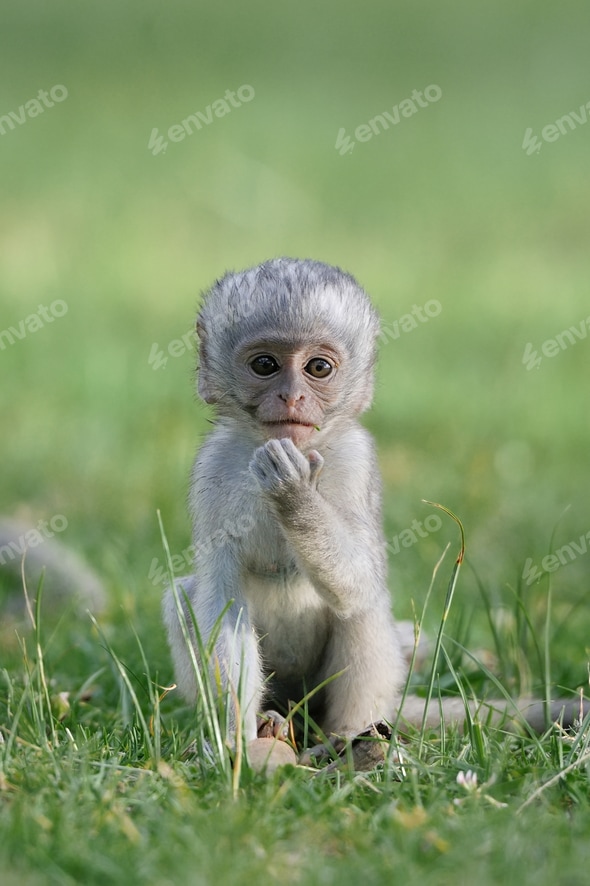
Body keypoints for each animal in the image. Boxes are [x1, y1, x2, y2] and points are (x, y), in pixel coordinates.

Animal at [162, 257, 588, 750]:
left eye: (318, 367)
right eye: (265, 365)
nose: (292, 397)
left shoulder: (355, 459)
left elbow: (359, 581)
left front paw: (294, 495)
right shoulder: (213, 470)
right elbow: (222, 603)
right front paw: (234, 741)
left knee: (363, 607)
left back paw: (350, 737)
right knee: (182, 597)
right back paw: (271, 721)